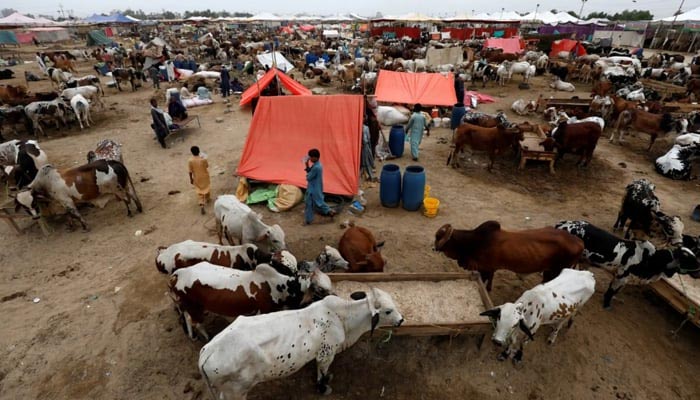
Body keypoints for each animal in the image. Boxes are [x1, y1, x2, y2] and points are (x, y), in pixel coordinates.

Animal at [15, 159, 143, 230]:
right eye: (24, 207)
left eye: (33, 202)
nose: (36, 217)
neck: (46, 181)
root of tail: (111, 162)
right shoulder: (64, 202)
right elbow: (68, 214)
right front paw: (71, 226)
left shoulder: (66, 201)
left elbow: (75, 214)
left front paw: (85, 226)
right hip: (125, 186)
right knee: (132, 195)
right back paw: (139, 208)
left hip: (117, 189)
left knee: (126, 199)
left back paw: (130, 213)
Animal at [168, 262, 334, 340]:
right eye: (321, 289)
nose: (334, 296)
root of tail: (179, 273)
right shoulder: (264, 312)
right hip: (194, 307)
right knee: (196, 322)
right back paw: (206, 336)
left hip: (192, 306)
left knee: (187, 318)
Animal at [197, 290, 404, 398]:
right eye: (387, 311)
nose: (401, 320)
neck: (342, 317)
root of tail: (207, 352)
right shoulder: (326, 354)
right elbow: (322, 374)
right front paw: (323, 388)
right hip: (236, 391)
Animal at [432, 222, 584, 290]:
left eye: (438, 237)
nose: (433, 248)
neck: (474, 242)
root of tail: (579, 242)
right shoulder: (490, 270)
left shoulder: (485, 269)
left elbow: (487, 285)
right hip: (549, 271)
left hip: (556, 271)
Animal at [556, 220, 696, 308]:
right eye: (688, 259)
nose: (698, 270)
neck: (649, 258)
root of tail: (562, 224)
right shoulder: (621, 277)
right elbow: (611, 291)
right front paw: (607, 305)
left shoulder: (623, 279)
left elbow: (614, 292)